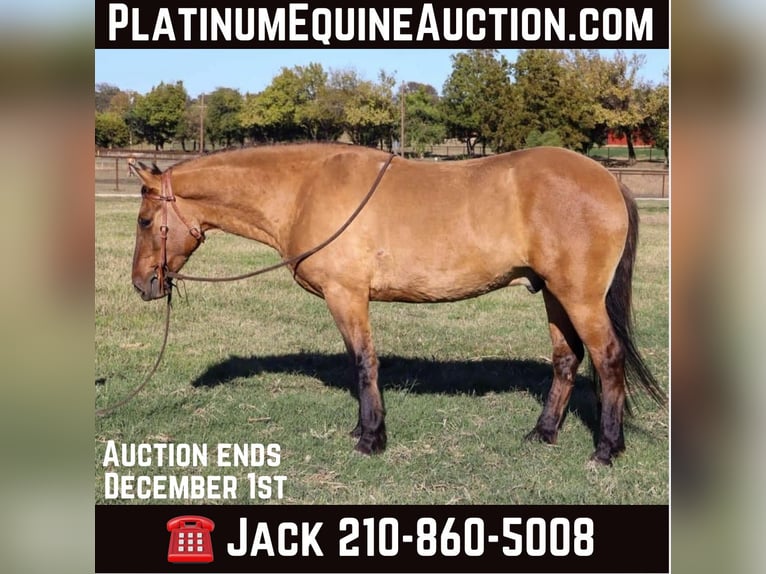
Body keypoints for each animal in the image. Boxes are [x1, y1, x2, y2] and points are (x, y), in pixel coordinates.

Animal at [129, 143, 664, 465]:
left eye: (143, 220)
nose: (142, 284)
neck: (305, 189)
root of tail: (608, 180)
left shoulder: (347, 296)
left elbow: (363, 362)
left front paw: (371, 438)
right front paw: (363, 431)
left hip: (580, 297)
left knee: (608, 358)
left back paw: (606, 448)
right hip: (554, 294)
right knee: (566, 359)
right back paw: (543, 433)